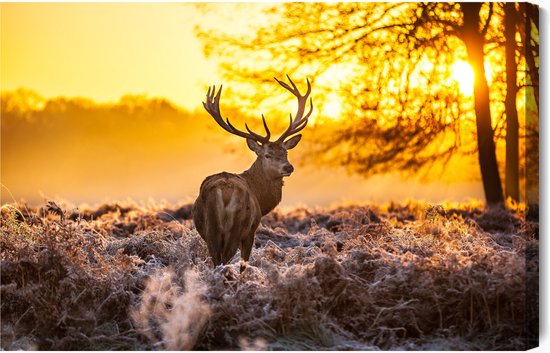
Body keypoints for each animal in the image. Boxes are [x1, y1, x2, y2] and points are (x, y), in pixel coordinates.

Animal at [194, 75, 314, 270]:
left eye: (285, 152)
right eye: (267, 155)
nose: (288, 167)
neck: (260, 197)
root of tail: (223, 192)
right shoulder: (252, 230)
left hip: (211, 230)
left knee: (216, 261)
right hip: (236, 228)